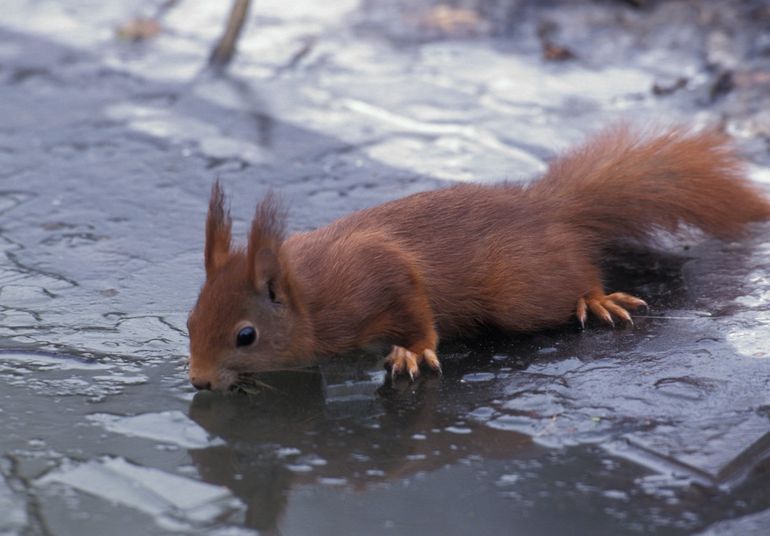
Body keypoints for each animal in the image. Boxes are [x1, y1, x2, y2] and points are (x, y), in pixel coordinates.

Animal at [184, 127, 768, 392]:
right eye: (189, 321)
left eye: (245, 336)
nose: (199, 381)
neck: (305, 292)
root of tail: (547, 208)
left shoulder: (376, 273)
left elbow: (414, 306)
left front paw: (413, 352)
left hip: (523, 292)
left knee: (572, 280)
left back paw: (598, 299)